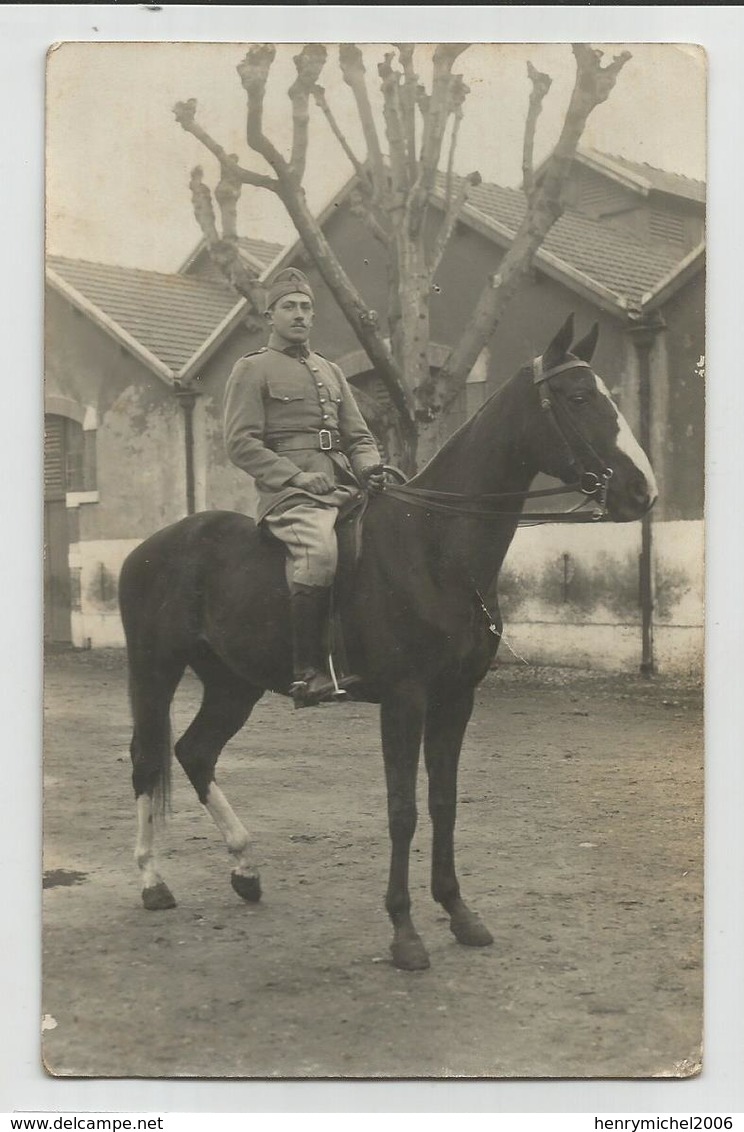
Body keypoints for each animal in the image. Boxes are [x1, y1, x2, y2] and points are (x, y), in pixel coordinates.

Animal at [117, 314, 656, 968]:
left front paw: (458, 912)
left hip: (233, 684)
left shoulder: (456, 698)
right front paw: (404, 931)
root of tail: (150, 546)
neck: (435, 545)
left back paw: (246, 869)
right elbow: (403, 810)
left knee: (195, 752)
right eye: (578, 398)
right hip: (154, 671)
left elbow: (444, 801)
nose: (643, 492)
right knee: (147, 760)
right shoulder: (404, 700)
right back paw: (152, 881)